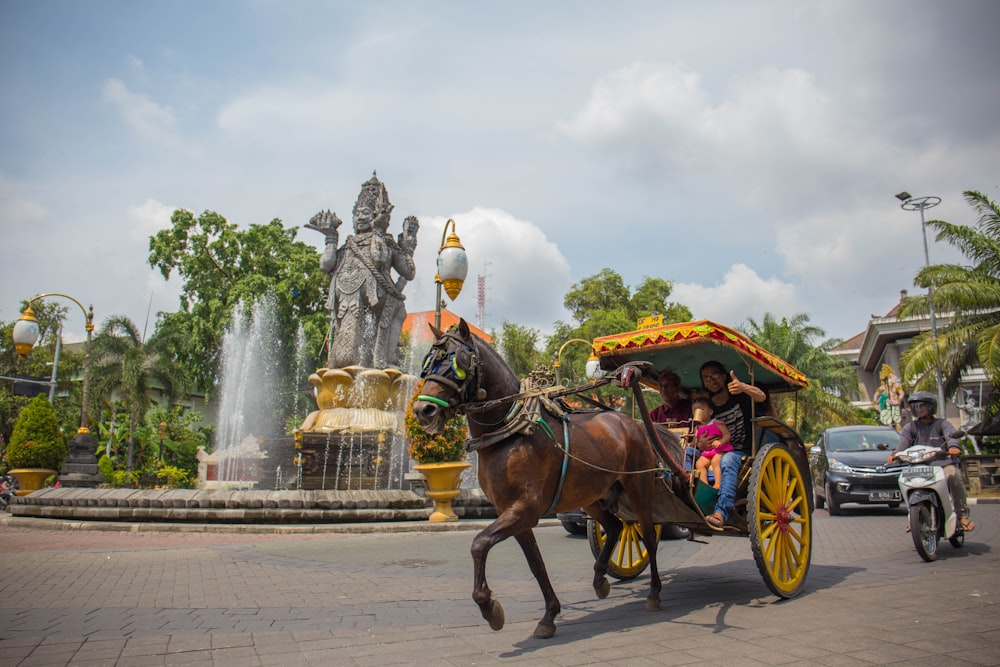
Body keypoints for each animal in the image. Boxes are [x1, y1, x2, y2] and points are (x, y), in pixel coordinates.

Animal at [412, 320, 672, 640]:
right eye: (427, 364)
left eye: (457, 362)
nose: (423, 411)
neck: (509, 431)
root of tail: (631, 422)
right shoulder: (512, 512)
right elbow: (536, 564)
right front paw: (549, 615)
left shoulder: (525, 509)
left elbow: (479, 544)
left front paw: (490, 608)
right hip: (591, 495)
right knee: (614, 526)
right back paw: (600, 579)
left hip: (638, 486)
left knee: (646, 535)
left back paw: (654, 593)